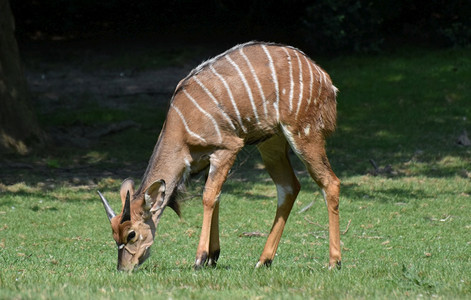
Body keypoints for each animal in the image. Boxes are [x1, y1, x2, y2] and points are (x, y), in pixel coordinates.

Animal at [98, 41, 342, 272]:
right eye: (113, 234)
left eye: (131, 234)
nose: (123, 268)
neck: (181, 127)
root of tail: (325, 79)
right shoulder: (208, 160)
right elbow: (216, 196)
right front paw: (213, 256)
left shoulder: (227, 148)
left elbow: (208, 197)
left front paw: (200, 258)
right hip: (271, 143)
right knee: (289, 187)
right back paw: (263, 260)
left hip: (304, 134)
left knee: (330, 182)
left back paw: (334, 262)